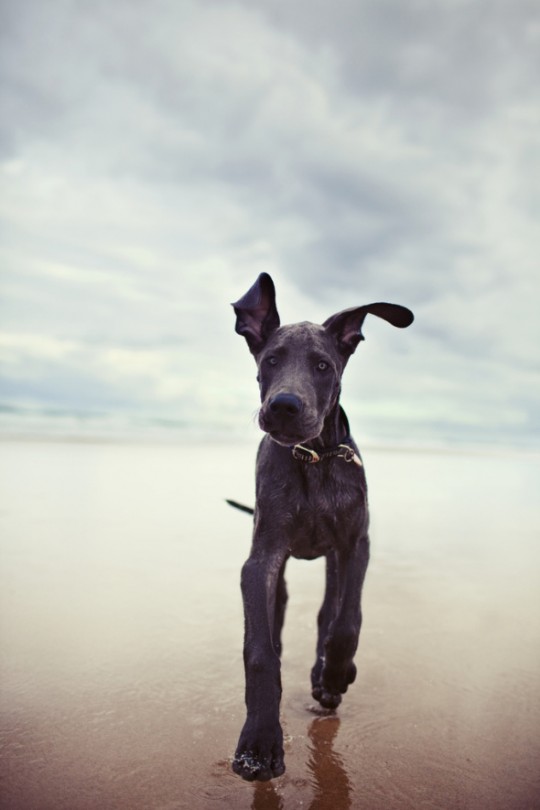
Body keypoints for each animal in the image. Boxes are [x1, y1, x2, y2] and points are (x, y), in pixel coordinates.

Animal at [229, 274, 414, 780]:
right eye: (270, 360)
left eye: (323, 366)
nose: (284, 406)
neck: (312, 457)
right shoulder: (261, 560)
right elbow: (260, 652)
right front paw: (259, 744)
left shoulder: (355, 545)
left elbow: (346, 621)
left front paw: (333, 674)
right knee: (278, 622)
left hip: (334, 559)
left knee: (328, 614)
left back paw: (326, 675)